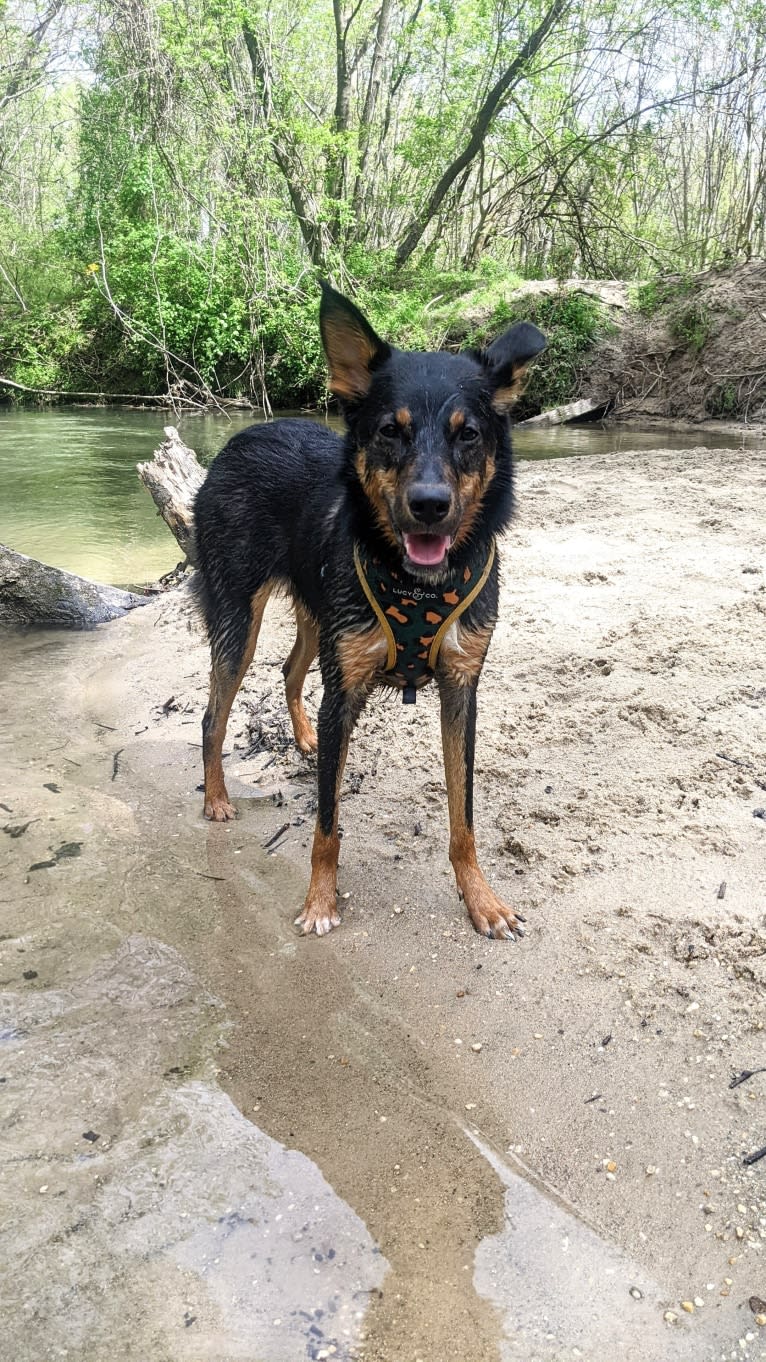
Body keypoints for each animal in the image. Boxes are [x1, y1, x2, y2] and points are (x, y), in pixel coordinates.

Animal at [193, 281, 545, 942]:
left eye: (468, 434)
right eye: (389, 430)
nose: (429, 505)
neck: (419, 585)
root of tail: (240, 439)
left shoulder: (462, 688)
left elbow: (463, 815)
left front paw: (481, 899)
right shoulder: (347, 687)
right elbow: (327, 823)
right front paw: (320, 902)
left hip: (320, 616)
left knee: (290, 669)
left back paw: (304, 738)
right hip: (238, 617)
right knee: (213, 715)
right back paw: (216, 797)